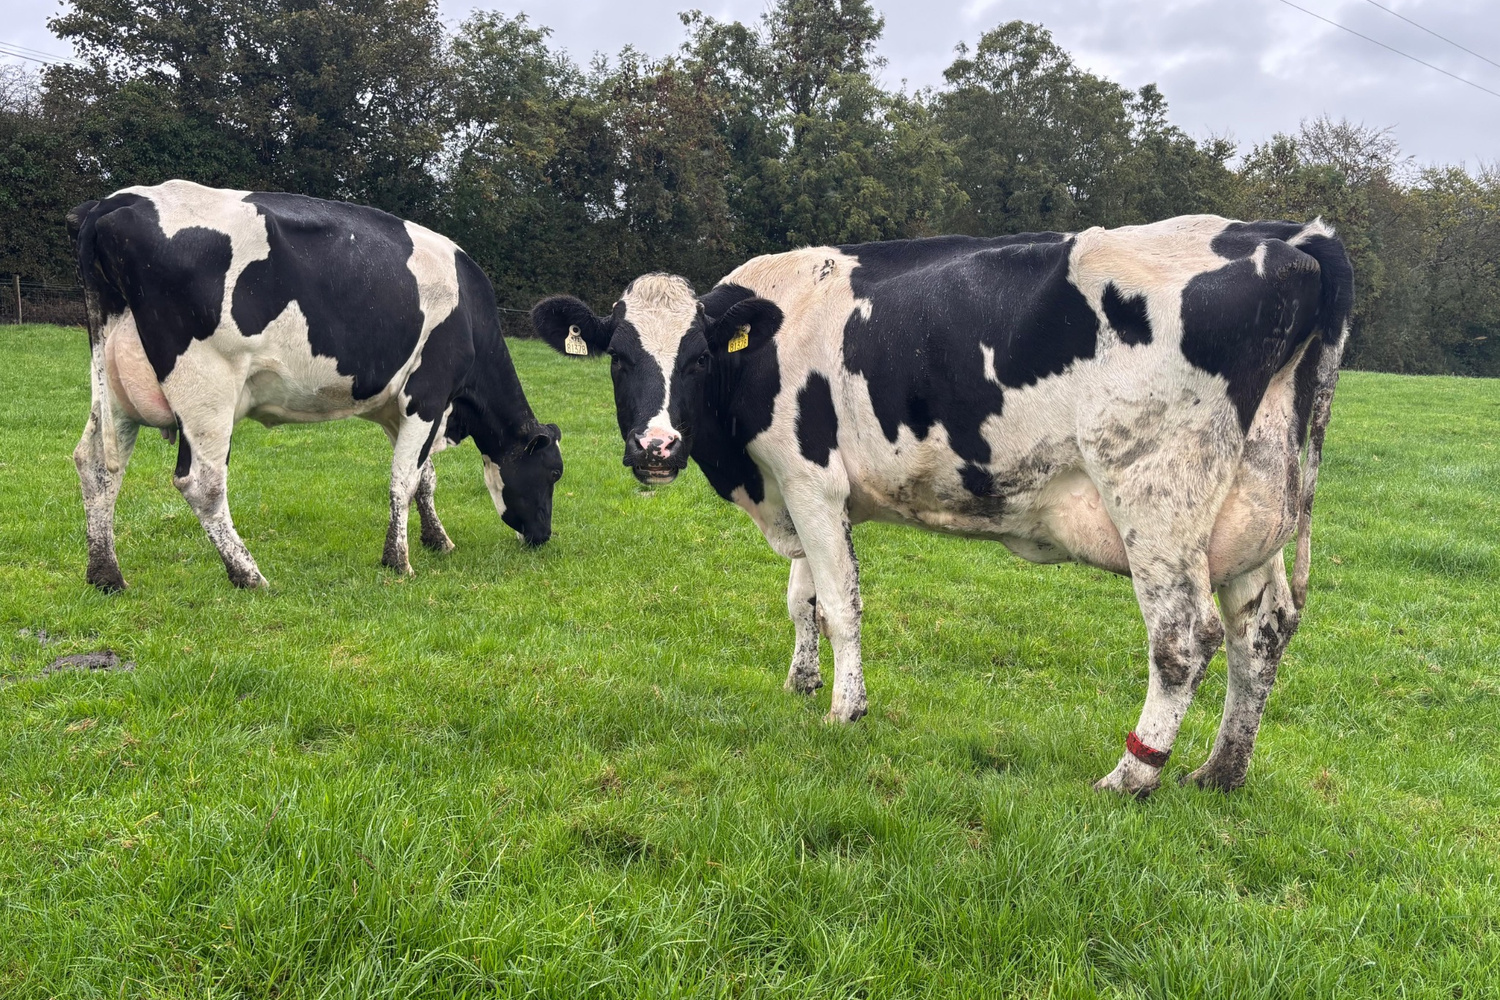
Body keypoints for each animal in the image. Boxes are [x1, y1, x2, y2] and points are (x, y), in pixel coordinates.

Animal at [68, 180, 562, 591]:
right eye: (554, 472)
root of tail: (114, 203)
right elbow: (403, 480)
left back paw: (105, 574)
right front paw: (398, 561)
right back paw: (248, 575)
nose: (543, 535)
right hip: (207, 387)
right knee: (202, 482)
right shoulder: (428, 393)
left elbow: (424, 478)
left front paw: (436, 540)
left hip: (116, 386)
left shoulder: (398, 407)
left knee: (96, 462)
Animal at [532, 215, 1353, 796]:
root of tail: (1289, 237)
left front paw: (844, 709)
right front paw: (801, 683)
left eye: (699, 357)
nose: (657, 447)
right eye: (619, 358)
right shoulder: (802, 492)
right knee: (1263, 630)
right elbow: (802, 599)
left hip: (1156, 499)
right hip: (1250, 513)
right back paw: (1221, 770)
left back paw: (1131, 775)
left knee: (1186, 639)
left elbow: (840, 603)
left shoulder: (809, 479)